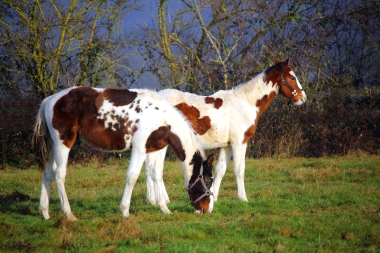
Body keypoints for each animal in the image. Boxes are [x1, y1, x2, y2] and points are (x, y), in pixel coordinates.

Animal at [32, 86, 212, 219]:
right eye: (208, 181)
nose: (206, 210)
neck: (161, 116)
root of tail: (50, 100)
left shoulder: (155, 149)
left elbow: (156, 174)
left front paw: (164, 208)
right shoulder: (140, 148)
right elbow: (132, 176)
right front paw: (125, 211)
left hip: (53, 146)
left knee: (47, 173)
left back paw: (45, 213)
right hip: (63, 142)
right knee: (59, 174)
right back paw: (69, 214)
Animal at [145, 58, 306, 205]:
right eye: (292, 77)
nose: (303, 98)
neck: (245, 103)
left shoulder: (226, 145)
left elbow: (221, 169)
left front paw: (213, 197)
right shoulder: (239, 142)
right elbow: (239, 169)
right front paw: (243, 198)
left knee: (149, 168)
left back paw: (153, 200)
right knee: (155, 168)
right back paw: (162, 200)